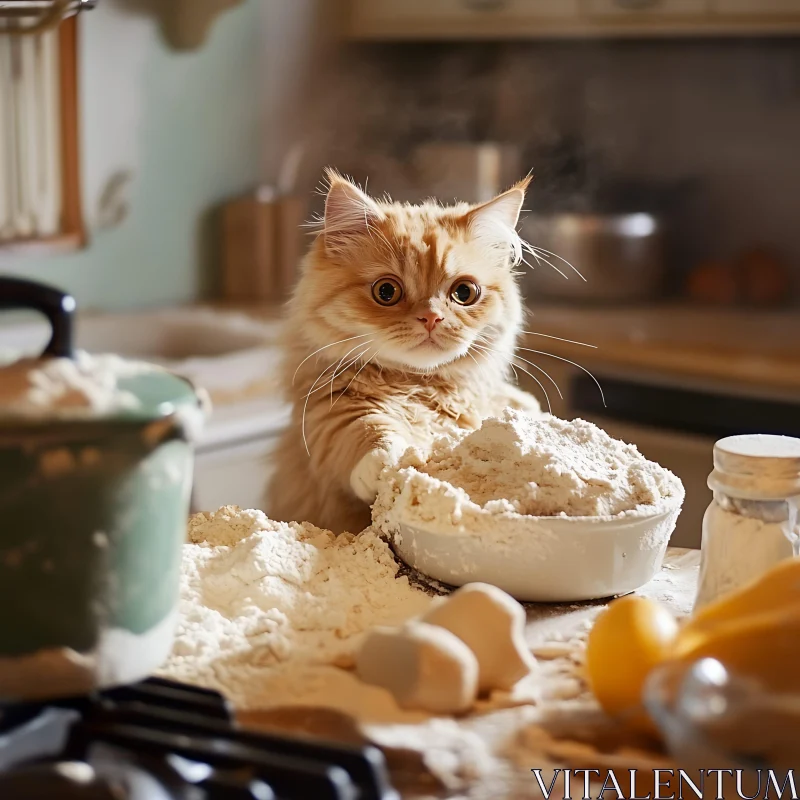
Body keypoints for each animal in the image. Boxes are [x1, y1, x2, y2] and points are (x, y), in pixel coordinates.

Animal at [268, 172, 536, 536]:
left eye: (464, 293)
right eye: (386, 291)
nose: (432, 317)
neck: (418, 384)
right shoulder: (329, 410)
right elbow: (369, 433)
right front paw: (391, 464)